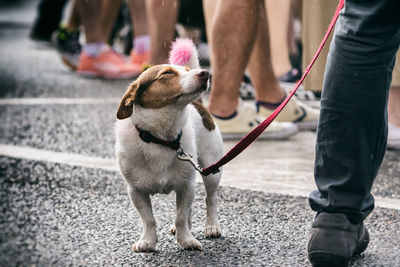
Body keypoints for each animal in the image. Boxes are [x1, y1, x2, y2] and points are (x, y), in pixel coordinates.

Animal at [114, 38, 223, 252]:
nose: (205, 73)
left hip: (211, 170)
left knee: (210, 199)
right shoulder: (136, 191)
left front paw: (186, 240)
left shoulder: (186, 186)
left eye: (187, 70)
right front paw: (148, 241)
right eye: (167, 74)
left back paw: (212, 226)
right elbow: (149, 219)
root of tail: (198, 104)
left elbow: (180, 216)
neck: (161, 138)